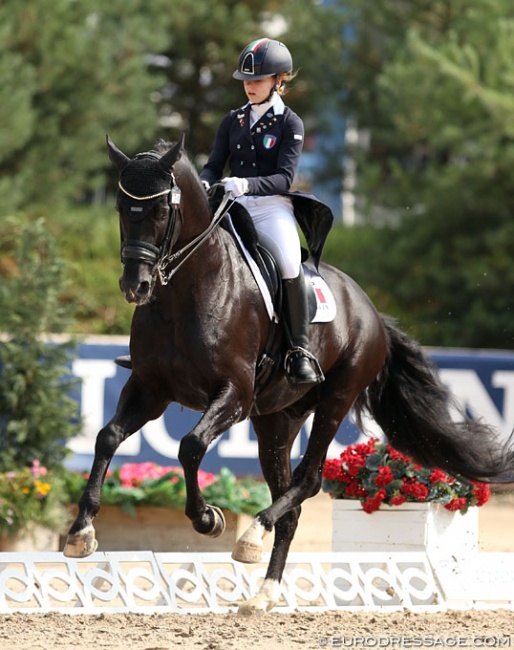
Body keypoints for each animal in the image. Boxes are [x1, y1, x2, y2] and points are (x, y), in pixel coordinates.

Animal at [64, 137, 512, 612]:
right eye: (120, 207)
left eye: (162, 211)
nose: (136, 287)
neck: (185, 292)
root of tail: (370, 310)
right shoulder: (150, 389)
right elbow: (108, 437)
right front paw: (81, 531)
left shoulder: (234, 393)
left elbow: (190, 446)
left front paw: (208, 518)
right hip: (276, 420)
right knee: (290, 502)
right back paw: (264, 589)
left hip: (335, 399)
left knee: (309, 480)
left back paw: (251, 534)